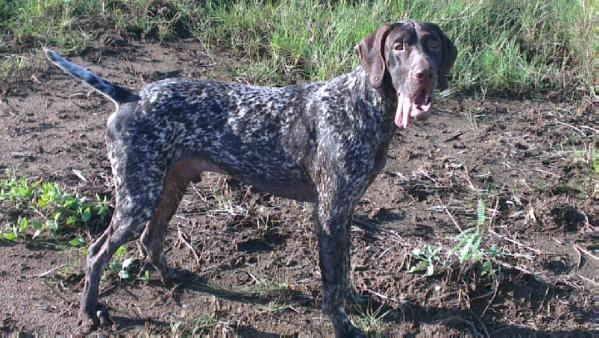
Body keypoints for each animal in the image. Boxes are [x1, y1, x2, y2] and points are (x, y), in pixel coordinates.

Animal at [44, 19, 458, 336]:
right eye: (399, 47)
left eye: (433, 45)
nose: (425, 75)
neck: (365, 105)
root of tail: (132, 95)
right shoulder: (329, 212)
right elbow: (332, 282)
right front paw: (343, 324)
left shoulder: (346, 209)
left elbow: (344, 268)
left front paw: (356, 299)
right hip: (137, 197)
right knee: (96, 253)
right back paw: (89, 312)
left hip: (168, 186)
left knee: (151, 239)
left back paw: (171, 277)